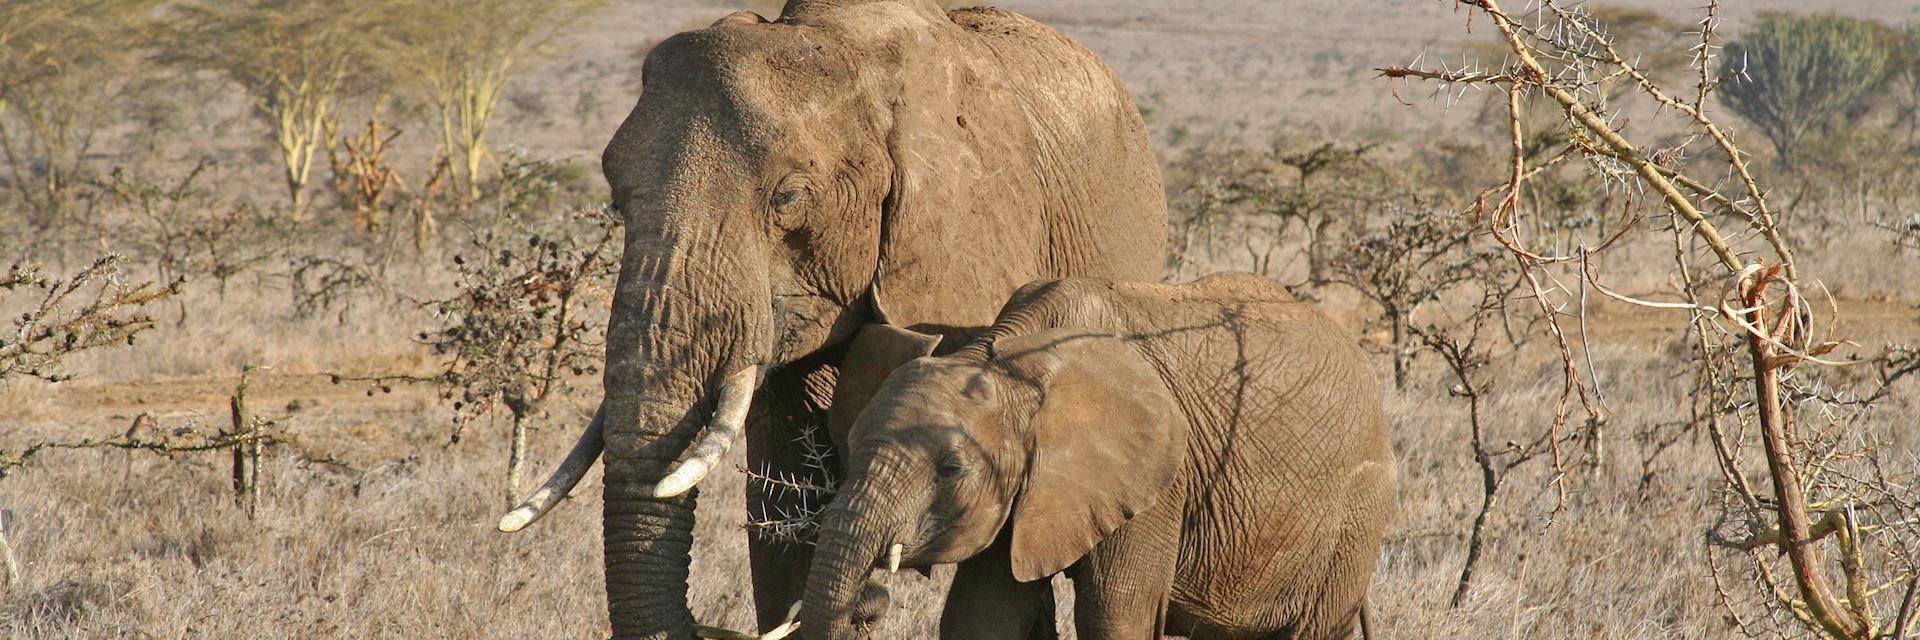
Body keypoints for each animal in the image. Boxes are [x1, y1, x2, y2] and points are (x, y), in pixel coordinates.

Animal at [794, 274, 1397, 638]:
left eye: (951, 469)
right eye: (847, 448)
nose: (870, 604)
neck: (1010, 356)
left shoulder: (1160, 480)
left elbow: (1115, 611)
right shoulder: (1025, 485)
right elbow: (983, 613)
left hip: (1357, 512)